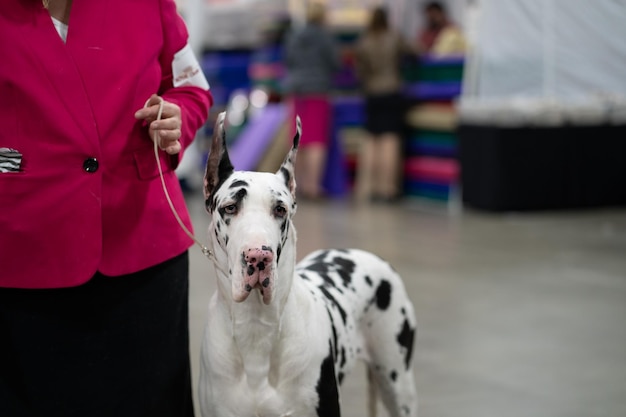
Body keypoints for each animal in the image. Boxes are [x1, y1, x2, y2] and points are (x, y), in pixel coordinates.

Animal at [197, 112, 416, 414]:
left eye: (280, 209)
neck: (256, 328)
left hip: (398, 385)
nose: (259, 256)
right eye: (229, 207)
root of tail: (370, 255)